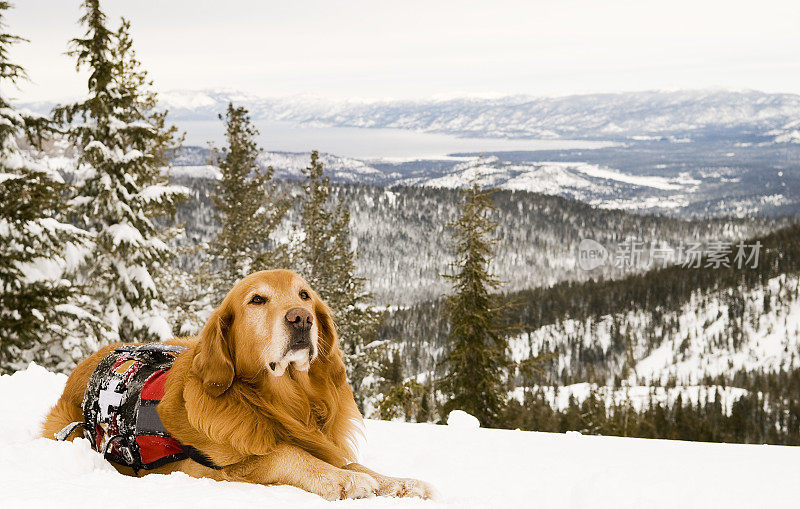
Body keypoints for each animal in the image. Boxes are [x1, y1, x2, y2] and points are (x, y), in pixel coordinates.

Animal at [41, 270, 434, 500]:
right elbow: (284, 454)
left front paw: (398, 482)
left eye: (304, 295)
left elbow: (353, 463)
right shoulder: (208, 469)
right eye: (257, 300)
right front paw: (341, 480)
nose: (301, 318)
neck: (280, 403)